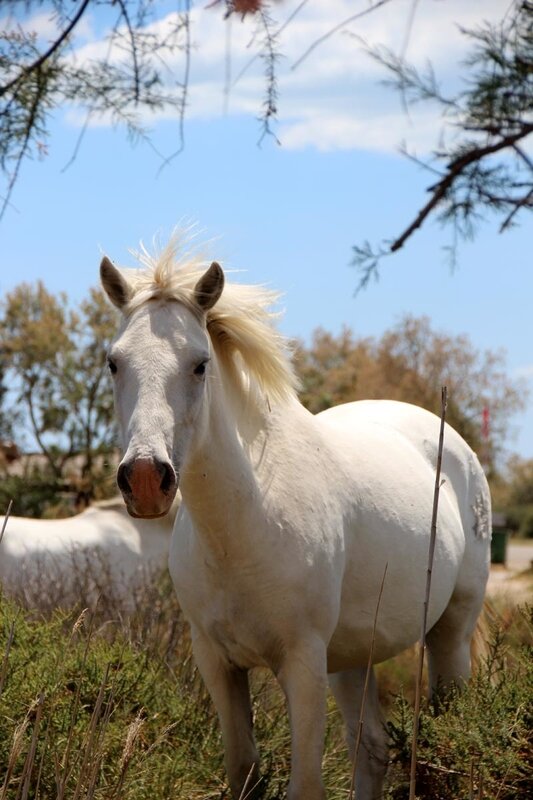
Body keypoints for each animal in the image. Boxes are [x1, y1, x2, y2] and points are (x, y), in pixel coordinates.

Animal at [100, 244, 490, 800]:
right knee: (371, 749)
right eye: (114, 362)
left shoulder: (303, 665)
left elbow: (305, 784)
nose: (147, 478)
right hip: (352, 659)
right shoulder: (217, 663)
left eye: (200, 365)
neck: (243, 524)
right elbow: (243, 769)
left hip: (450, 634)